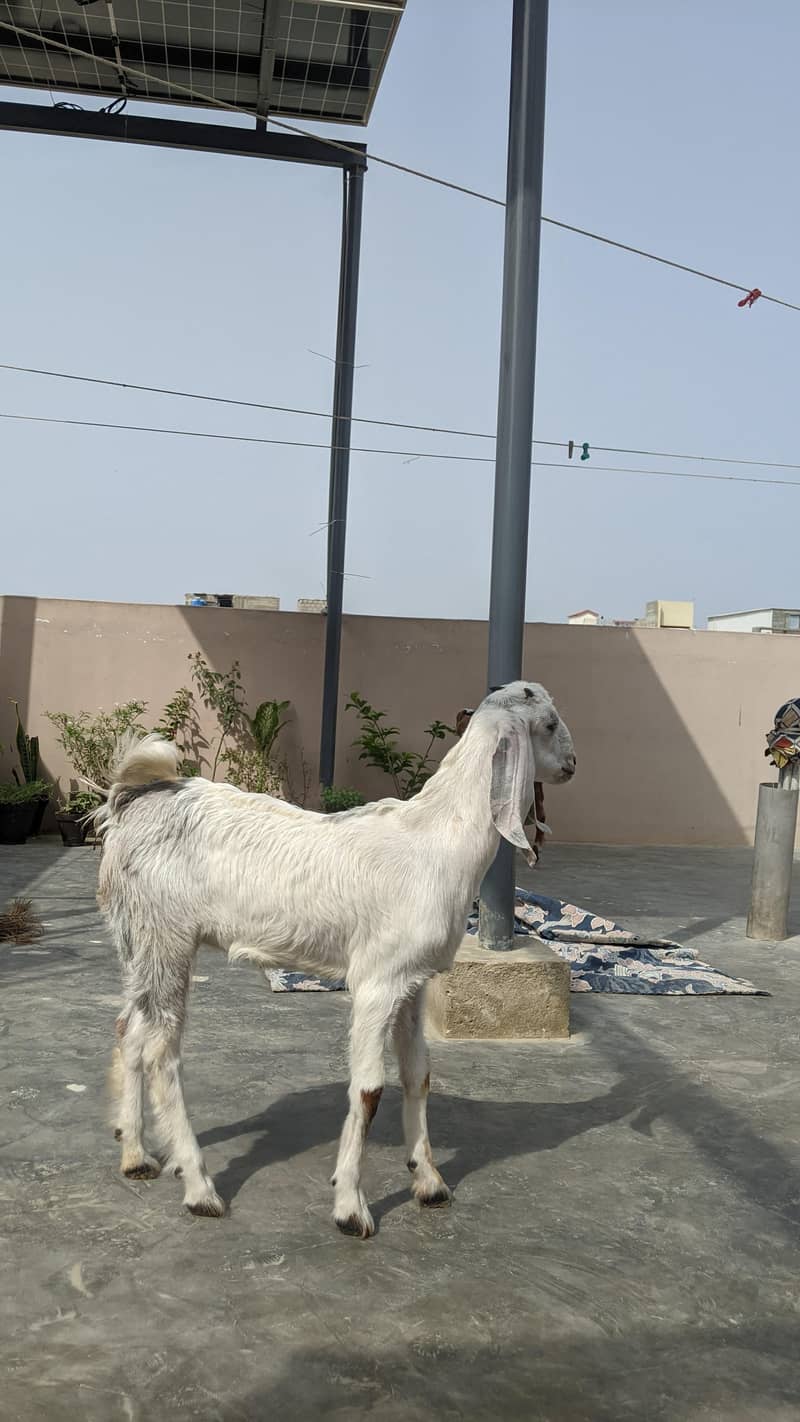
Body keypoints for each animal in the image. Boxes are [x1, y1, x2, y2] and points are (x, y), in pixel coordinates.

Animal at [97, 680, 575, 1239]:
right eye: (548, 723)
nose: (572, 764)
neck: (436, 839)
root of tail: (132, 803)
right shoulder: (377, 982)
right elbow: (369, 1089)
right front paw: (350, 1207)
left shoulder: (413, 982)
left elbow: (419, 1074)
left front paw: (429, 1182)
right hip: (167, 937)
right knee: (160, 1051)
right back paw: (199, 1189)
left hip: (137, 941)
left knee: (129, 1028)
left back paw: (135, 1154)